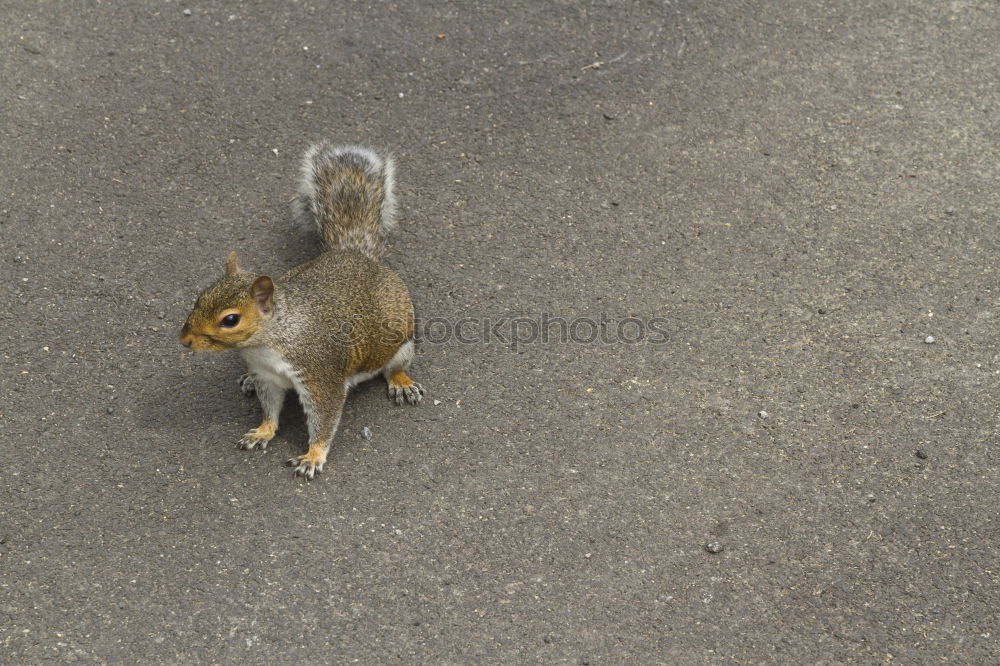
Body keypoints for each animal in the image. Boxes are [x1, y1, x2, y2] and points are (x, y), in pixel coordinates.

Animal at [180, 144, 422, 478]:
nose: (184, 339)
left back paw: (401, 382)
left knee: (395, 365)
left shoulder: (319, 375)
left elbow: (324, 418)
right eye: (199, 298)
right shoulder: (267, 375)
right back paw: (246, 380)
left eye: (230, 319)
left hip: (402, 340)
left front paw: (313, 456)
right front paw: (263, 431)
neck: (269, 341)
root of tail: (353, 255)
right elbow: (270, 407)